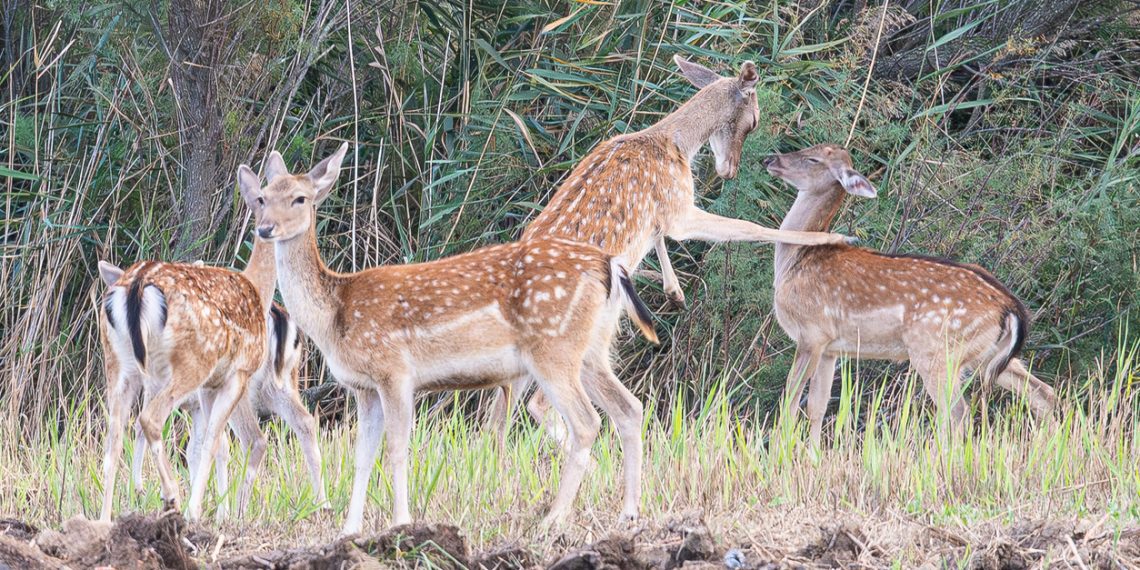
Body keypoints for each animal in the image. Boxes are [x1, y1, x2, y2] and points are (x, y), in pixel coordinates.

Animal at [96, 167, 326, 522]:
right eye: (267, 199)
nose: (270, 227)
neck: (256, 289)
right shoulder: (227, 380)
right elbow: (210, 444)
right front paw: (204, 509)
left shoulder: (202, 392)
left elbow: (205, 445)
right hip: (201, 369)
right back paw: (177, 499)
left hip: (126, 367)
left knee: (118, 437)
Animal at [248, 142, 658, 535]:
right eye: (262, 198)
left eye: (300, 198)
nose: (265, 229)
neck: (335, 315)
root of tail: (610, 266)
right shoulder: (364, 388)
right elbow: (362, 455)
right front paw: (349, 530)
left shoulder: (395, 372)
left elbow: (396, 448)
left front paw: (401, 522)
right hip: (592, 349)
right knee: (629, 408)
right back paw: (629, 513)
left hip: (553, 349)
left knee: (587, 422)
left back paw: (552, 520)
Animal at [486, 55, 854, 439]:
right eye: (754, 120)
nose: (730, 171)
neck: (675, 143)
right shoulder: (680, 207)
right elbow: (745, 228)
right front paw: (833, 238)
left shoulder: (664, 215)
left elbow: (660, 236)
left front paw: (674, 290)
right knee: (539, 404)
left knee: (498, 414)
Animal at [763, 143, 1057, 445]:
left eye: (813, 158)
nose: (770, 159)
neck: (795, 260)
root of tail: (1010, 308)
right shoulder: (831, 348)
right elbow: (817, 407)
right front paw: (812, 452)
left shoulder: (811, 333)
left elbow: (790, 403)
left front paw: (782, 450)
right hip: (987, 355)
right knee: (1043, 392)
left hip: (937, 352)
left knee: (958, 413)